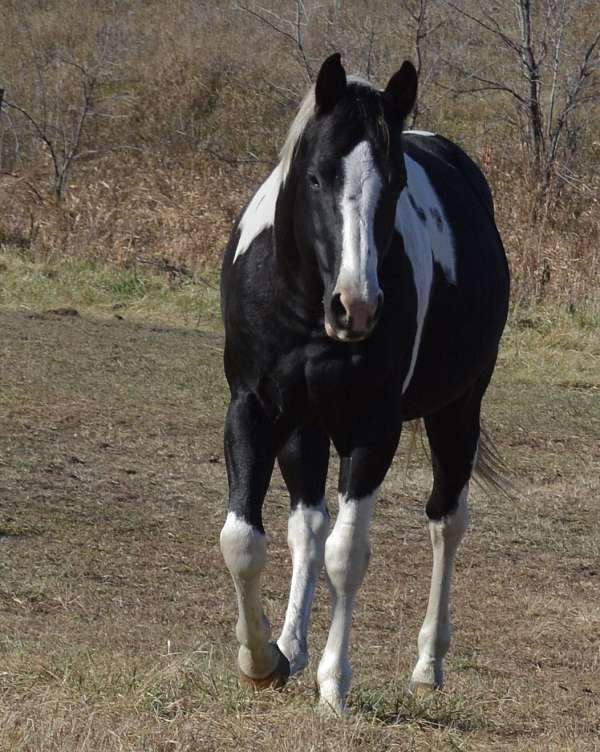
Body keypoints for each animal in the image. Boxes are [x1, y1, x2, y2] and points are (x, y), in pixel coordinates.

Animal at [218, 53, 508, 712]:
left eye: (396, 184)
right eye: (316, 177)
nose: (358, 305)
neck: (304, 306)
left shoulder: (373, 430)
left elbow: (347, 556)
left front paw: (333, 685)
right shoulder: (253, 409)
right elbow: (244, 540)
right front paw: (263, 660)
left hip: (458, 411)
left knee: (446, 522)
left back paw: (427, 665)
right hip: (305, 426)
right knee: (307, 526)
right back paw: (291, 645)